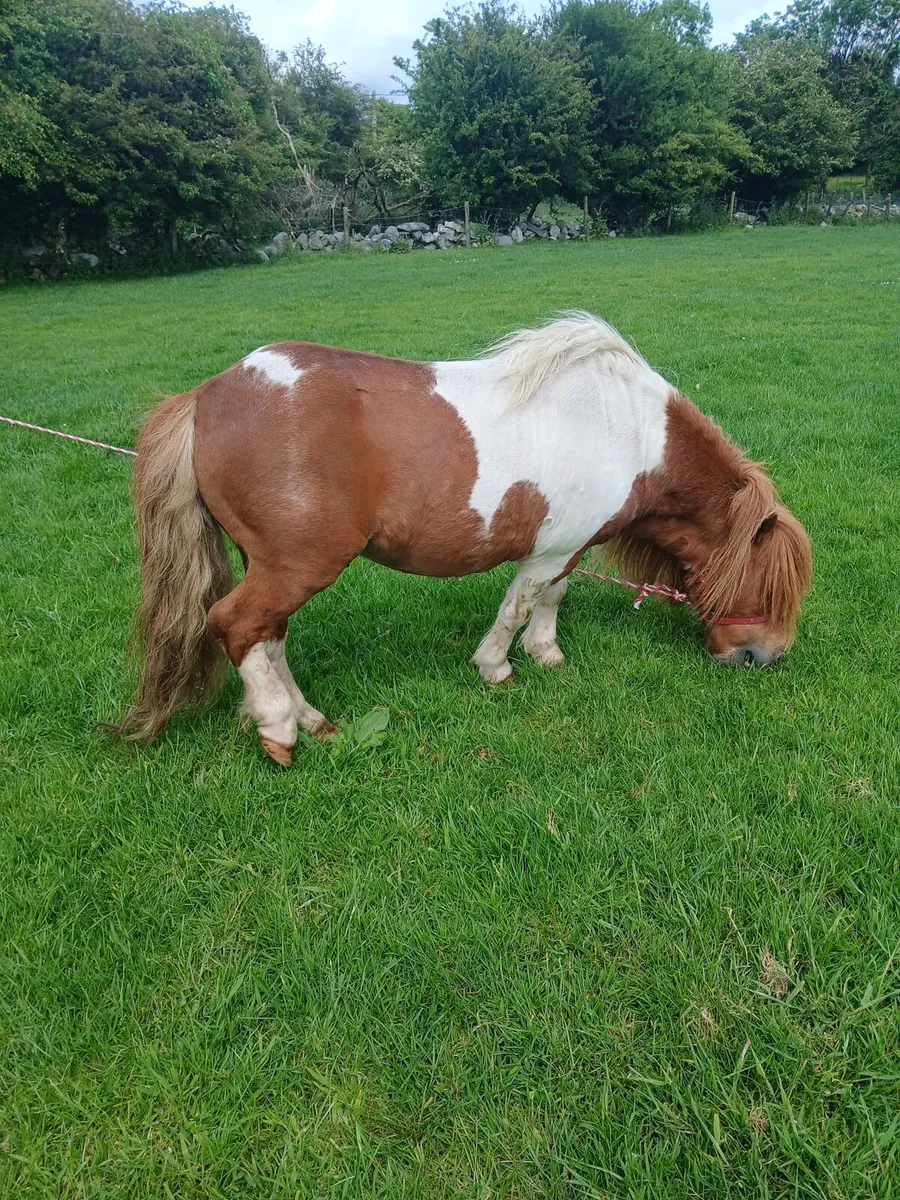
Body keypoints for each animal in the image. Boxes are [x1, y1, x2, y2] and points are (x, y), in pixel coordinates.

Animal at [117, 312, 812, 765]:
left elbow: (551, 601)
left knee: (269, 638)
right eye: (769, 582)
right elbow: (517, 606)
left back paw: (310, 720)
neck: (630, 433)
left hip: (273, 566)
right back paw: (280, 731)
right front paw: (497, 667)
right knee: (235, 625)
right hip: (297, 566)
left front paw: (546, 654)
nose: (766, 657)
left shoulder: (570, 548)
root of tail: (207, 396)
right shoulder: (550, 551)